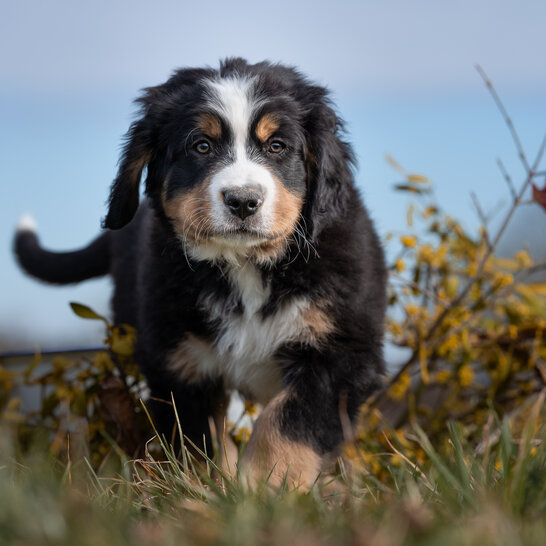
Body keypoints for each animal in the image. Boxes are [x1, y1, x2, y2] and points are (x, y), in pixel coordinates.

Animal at [13, 57, 386, 486]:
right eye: (201, 146)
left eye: (277, 146)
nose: (243, 201)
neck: (245, 266)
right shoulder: (181, 361)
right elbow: (200, 441)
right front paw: (215, 489)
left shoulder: (339, 353)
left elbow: (286, 426)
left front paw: (262, 487)